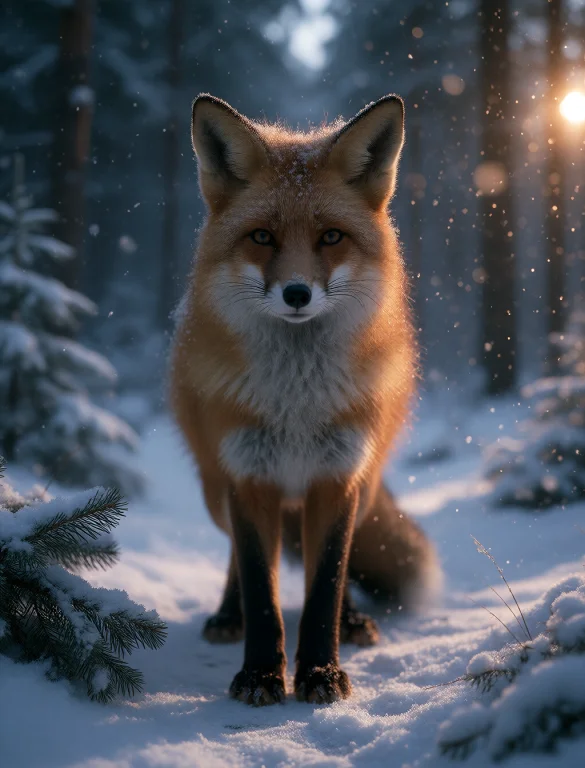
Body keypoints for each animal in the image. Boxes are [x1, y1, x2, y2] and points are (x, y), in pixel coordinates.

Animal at [170, 93, 440, 706]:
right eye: (262, 237)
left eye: (331, 237)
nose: (297, 293)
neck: (297, 405)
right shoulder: (248, 476)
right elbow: (262, 590)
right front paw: (261, 676)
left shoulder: (337, 478)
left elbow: (325, 586)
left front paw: (320, 672)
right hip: (215, 490)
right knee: (237, 562)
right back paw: (228, 616)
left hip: (365, 488)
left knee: (341, 571)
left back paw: (354, 621)